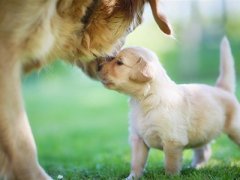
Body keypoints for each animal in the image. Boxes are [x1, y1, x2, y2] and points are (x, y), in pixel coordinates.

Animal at [98, 37, 240, 179]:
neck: (145, 99)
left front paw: (170, 176)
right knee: (204, 150)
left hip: (234, 128)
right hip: (202, 132)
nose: (98, 66)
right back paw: (195, 167)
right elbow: (136, 162)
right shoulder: (138, 138)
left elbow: (170, 163)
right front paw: (132, 177)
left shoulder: (172, 141)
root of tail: (223, 89)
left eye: (119, 63)